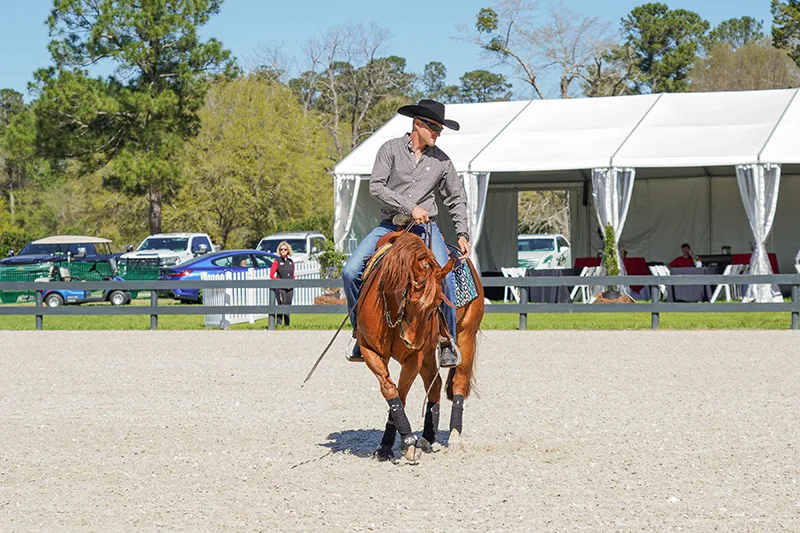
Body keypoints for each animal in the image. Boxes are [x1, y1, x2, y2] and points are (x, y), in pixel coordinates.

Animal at [358, 231, 484, 460]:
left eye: (437, 305)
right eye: (408, 298)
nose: (411, 342)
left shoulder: (413, 359)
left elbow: (401, 394)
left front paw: (406, 442)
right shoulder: (370, 351)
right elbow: (390, 390)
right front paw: (386, 446)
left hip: (465, 336)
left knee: (459, 381)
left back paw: (454, 436)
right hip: (427, 354)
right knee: (434, 385)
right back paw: (427, 437)